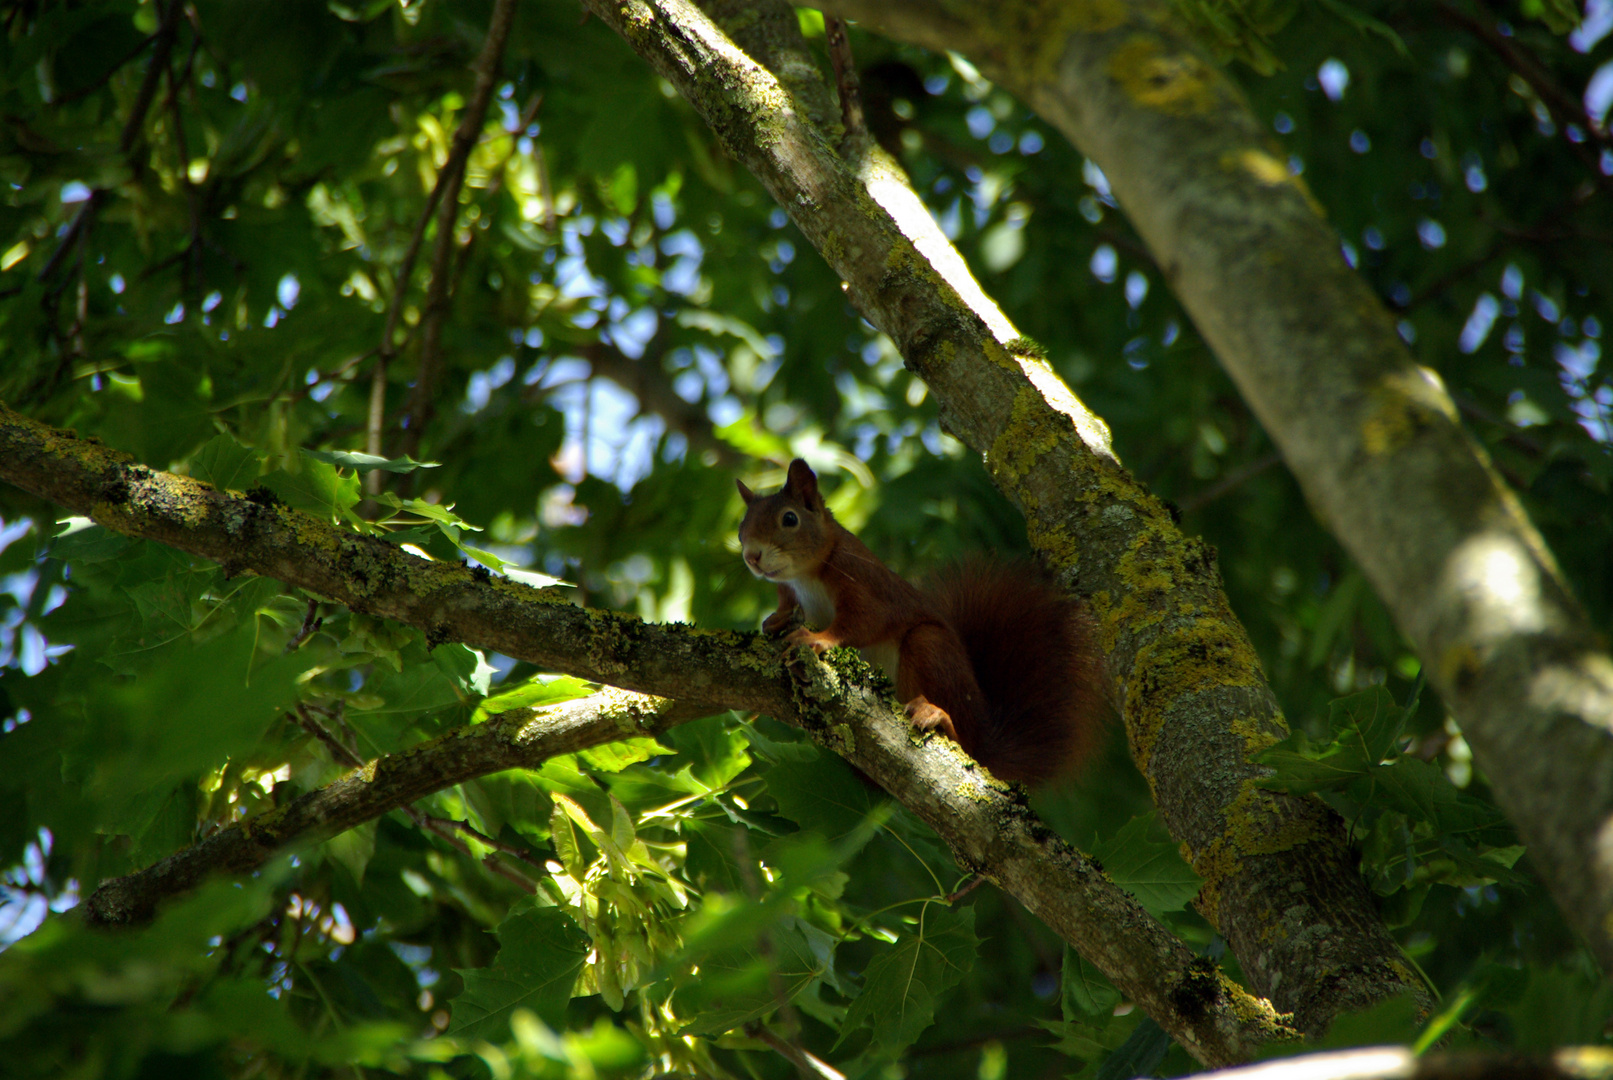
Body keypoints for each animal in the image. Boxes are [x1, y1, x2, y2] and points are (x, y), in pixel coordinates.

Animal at [738, 457, 1103, 786]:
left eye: (789, 519)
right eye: (742, 528)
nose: (751, 557)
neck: (806, 575)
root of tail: (986, 742)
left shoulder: (863, 582)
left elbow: (862, 623)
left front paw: (816, 639)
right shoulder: (790, 590)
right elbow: (788, 606)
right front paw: (775, 621)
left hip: (931, 649)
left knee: (961, 737)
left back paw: (938, 717)